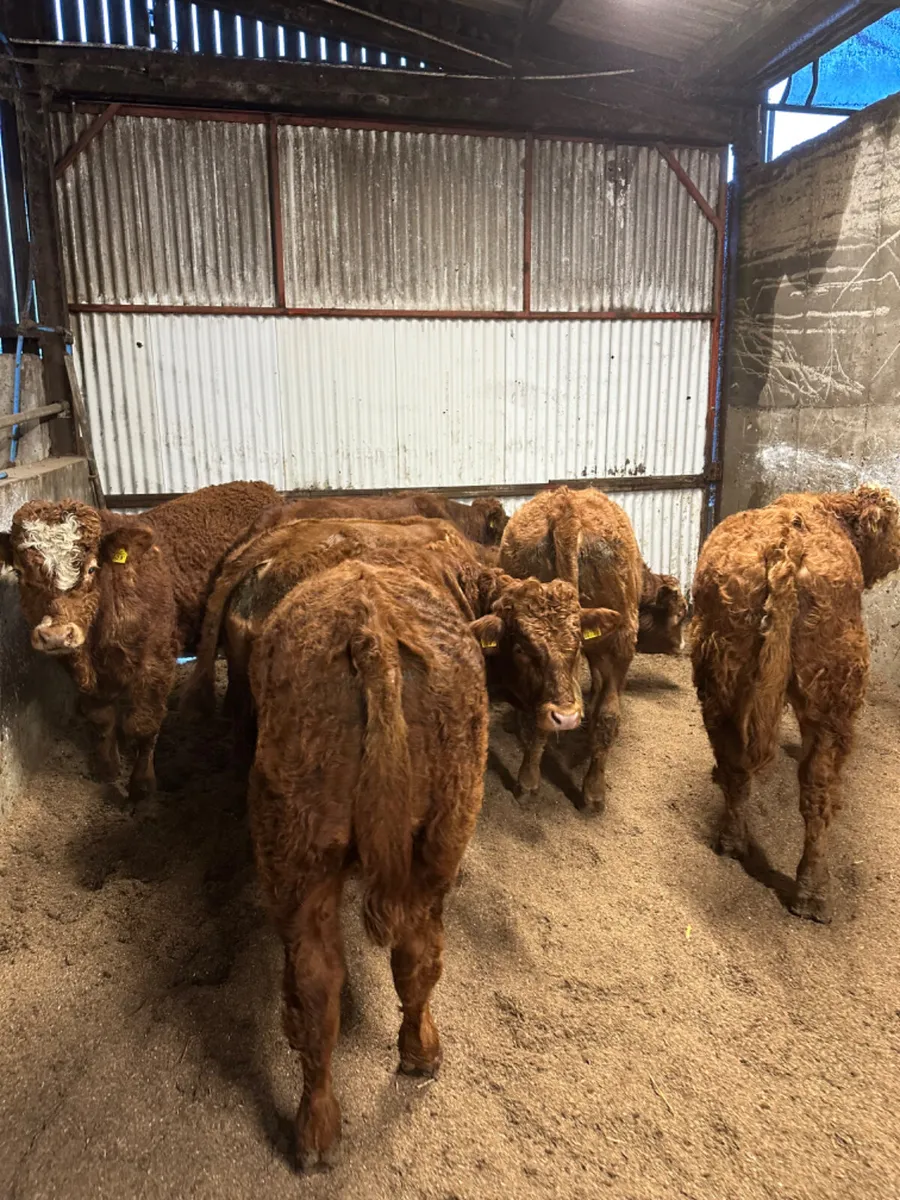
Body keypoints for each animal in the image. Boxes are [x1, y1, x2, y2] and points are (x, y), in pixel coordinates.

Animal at [0, 481, 278, 800]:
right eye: (20, 572)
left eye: (92, 568)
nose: (56, 634)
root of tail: (258, 486)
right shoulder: (80, 670)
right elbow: (101, 718)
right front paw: (107, 766)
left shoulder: (157, 662)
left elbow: (143, 725)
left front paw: (141, 785)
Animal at [249, 560, 490, 1168]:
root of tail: (373, 625)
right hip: (442, 837)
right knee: (418, 955)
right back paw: (421, 1053)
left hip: (296, 854)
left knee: (313, 983)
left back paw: (315, 1128)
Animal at [691, 485, 900, 923]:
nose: (897, 553)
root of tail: (788, 544)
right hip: (835, 694)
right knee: (818, 789)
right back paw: (813, 893)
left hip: (719, 673)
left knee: (734, 763)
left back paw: (732, 840)